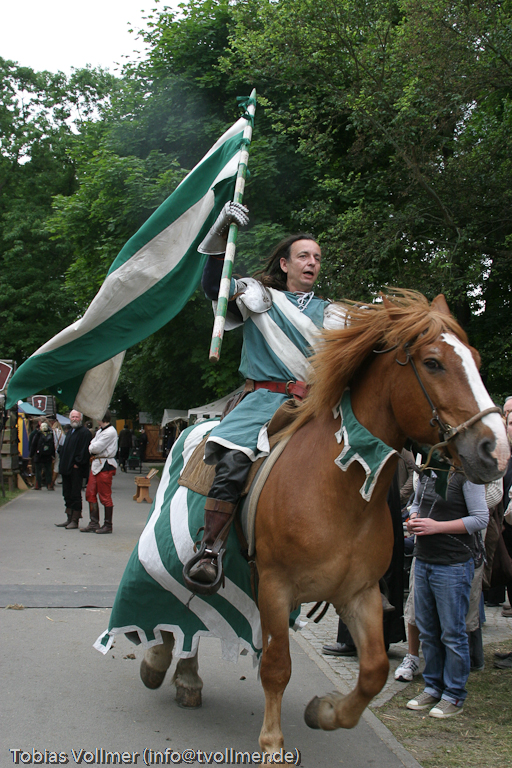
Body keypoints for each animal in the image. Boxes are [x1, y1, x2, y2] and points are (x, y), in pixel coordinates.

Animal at [100, 290, 508, 755]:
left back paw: (185, 677)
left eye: (475, 360)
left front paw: (325, 712)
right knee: (172, 594)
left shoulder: (359, 592)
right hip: (183, 553)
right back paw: (157, 659)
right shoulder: (276, 587)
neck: (340, 492)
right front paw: (273, 745)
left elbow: (374, 670)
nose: (495, 452)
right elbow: (277, 667)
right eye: (433, 362)